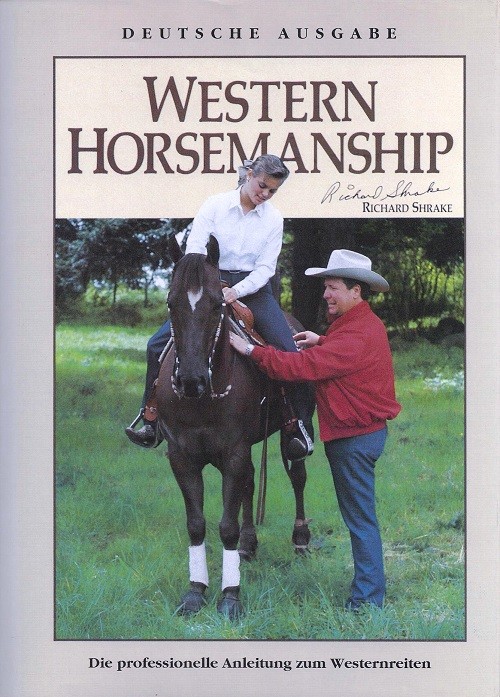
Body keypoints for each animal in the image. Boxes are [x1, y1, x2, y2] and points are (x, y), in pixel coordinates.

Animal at [156, 237, 312, 616]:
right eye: (170, 303)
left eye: (216, 305)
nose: (191, 380)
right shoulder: (181, 457)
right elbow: (196, 524)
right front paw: (195, 591)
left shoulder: (233, 453)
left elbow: (225, 526)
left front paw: (230, 596)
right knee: (250, 483)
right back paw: (248, 544)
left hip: (291, 436)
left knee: (298, 476)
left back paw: (300, 540)